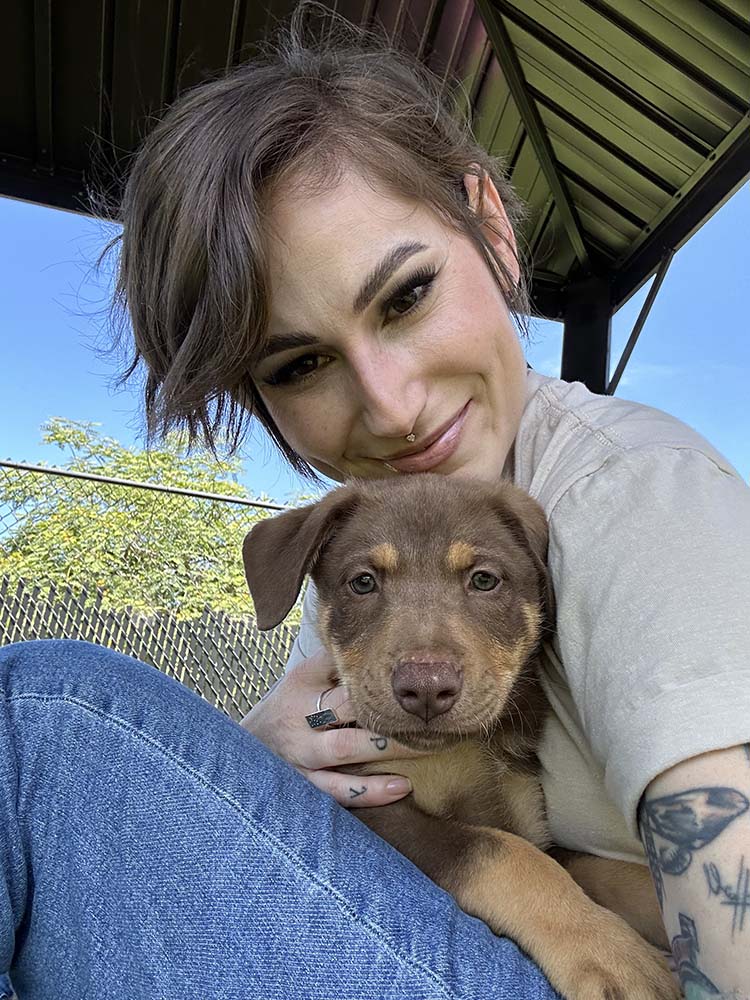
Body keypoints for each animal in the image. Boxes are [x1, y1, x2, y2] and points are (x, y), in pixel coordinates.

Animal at [244, 476, 680, 1000]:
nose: (426, 690)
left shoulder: (532, 823)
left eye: (484, 580)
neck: (466, 747)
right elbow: (505, 855)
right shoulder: (379, 810)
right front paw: (613, 956)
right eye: (363, 582)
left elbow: (601, 868)